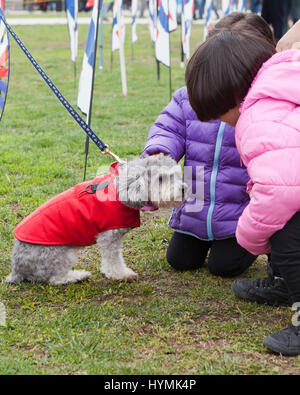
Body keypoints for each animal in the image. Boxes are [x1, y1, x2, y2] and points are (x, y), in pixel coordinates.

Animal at [6, 153, 185, 286]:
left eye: (178, 174)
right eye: (160, 178)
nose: (183, 189)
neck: (120, 191)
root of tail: (16, 269)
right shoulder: (109, 237)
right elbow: (113, 260)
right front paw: (121, 275)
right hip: (61, 253)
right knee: (55, 279)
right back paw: (77, 276)